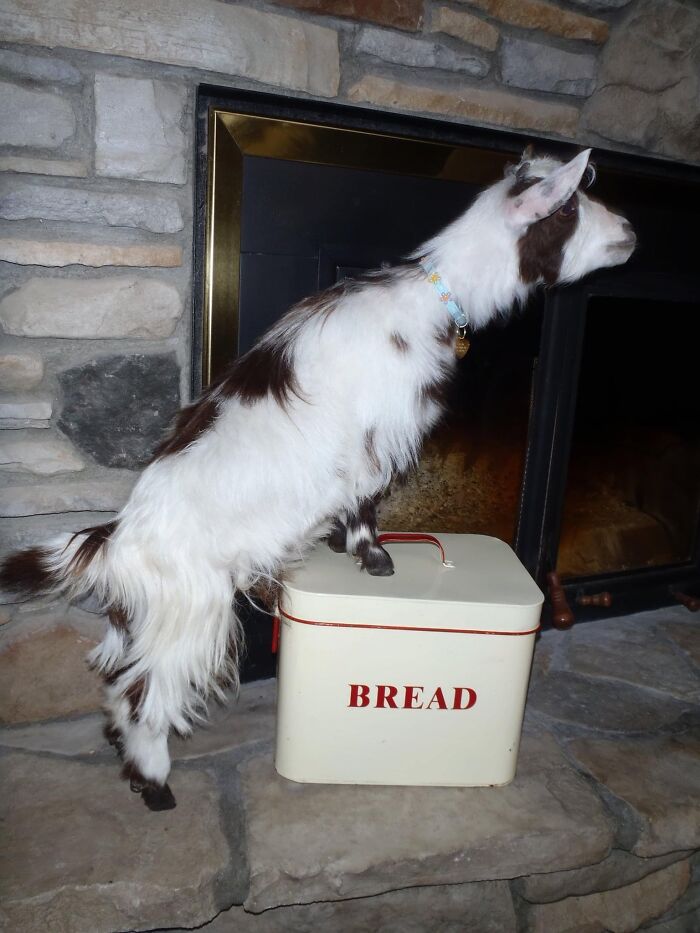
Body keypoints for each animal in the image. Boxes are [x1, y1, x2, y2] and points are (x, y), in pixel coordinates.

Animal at [0, 148, 635, 809]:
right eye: (569, 209)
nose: (629, 232)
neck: (428, 296)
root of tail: (119, 539)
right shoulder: (374, 439)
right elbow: (366, 503)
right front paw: (374, 559)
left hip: (137, 618)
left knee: (114, 684)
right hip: (189, 612)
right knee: (141, 695)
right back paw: (154, 784)